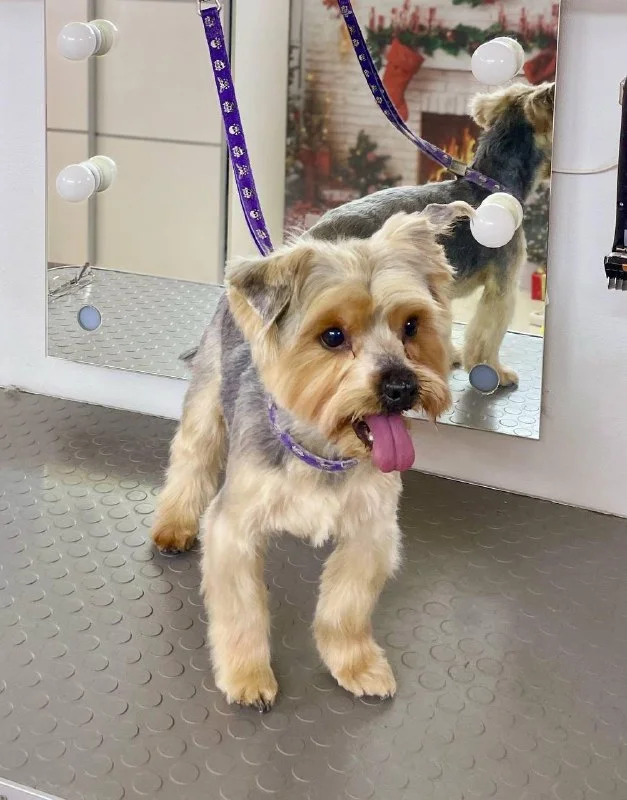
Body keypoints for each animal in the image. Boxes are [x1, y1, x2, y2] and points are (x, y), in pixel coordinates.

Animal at [152, 201, 473, 709]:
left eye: (411, 326)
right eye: (333, 336)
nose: (401, 386)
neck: (322, 453)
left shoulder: (371, 530)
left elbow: (346, 606)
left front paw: (356, 665)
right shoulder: (234, 527)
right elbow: (242, 609)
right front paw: (248, 676)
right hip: (208, 393)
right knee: (192, 455)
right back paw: (174, 524)